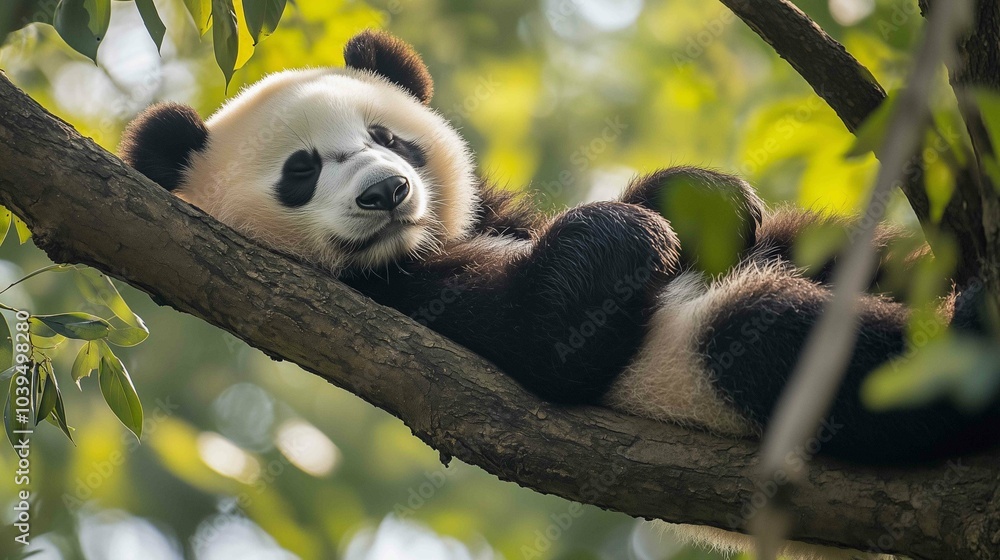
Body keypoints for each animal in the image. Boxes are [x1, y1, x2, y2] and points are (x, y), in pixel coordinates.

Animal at [120, 30, 997, 559]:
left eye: (387, 137)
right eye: (302, 170)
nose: (387, 191)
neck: (420, 247)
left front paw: (705, 199)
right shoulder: (407, 317)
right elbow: (550, 343)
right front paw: (629, 232)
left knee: (849, 252)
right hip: (707, 375)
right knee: (782, 342)